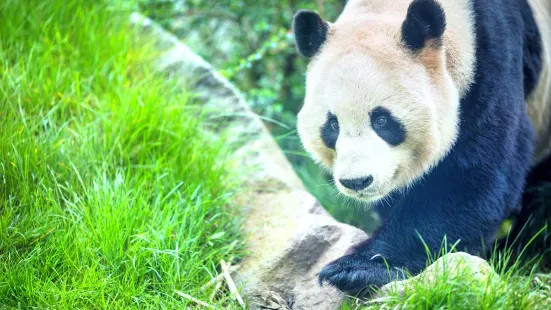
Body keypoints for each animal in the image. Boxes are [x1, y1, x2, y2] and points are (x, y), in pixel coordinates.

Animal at [294, 0, 551, 294]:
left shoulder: (493, 59)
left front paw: (356, 269)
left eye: (381, 120)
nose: (357, 181)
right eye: (333, 125)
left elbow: (469, 178)